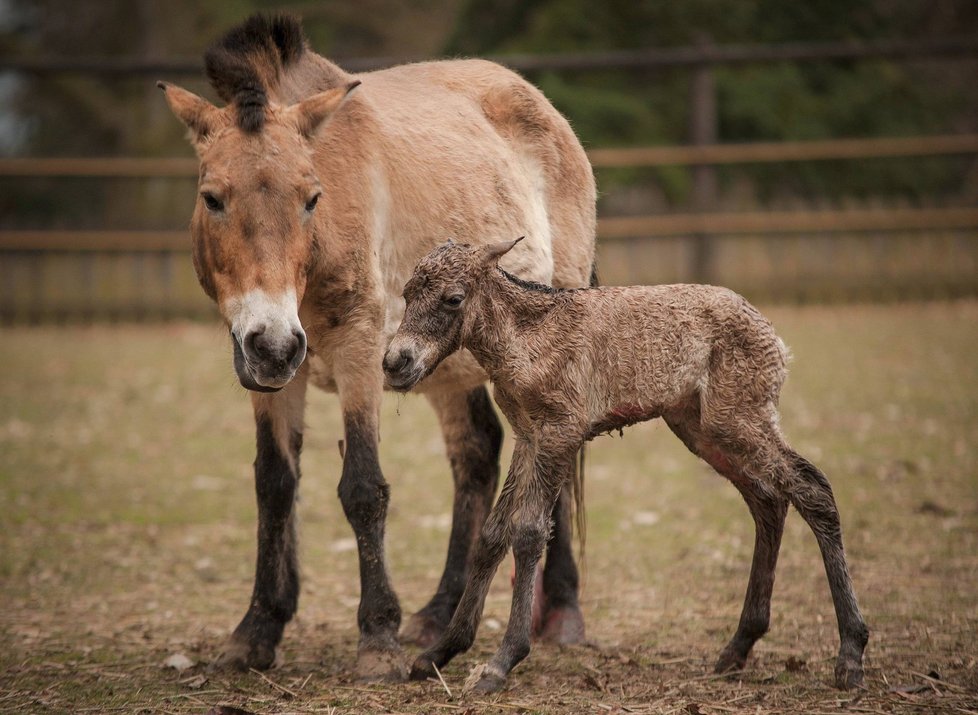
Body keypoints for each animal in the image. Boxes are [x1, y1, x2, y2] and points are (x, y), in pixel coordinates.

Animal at [158, 14, 596, 680]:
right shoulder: (266, 371)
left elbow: (363, 487)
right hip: (448, 365)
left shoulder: (360, 349)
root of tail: (544, 109)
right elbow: (274, 485)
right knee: (476, 456)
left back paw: (564, 616)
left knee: (556, 456)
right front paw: (256, 631)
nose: (276, 344)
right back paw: (439, 614)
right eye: (213, 198)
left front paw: (378, 640)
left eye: (312, 198)